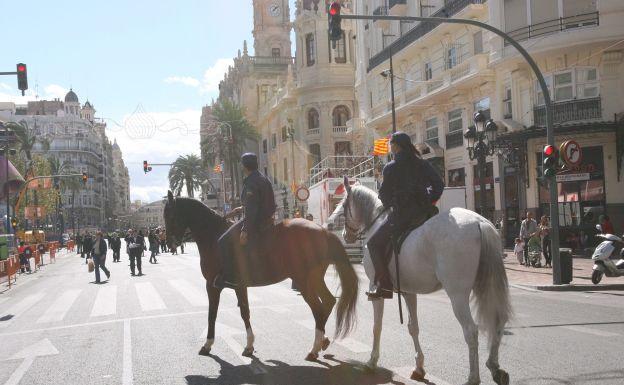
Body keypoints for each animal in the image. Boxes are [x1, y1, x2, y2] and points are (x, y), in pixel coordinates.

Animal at [163, 191, 358, 360]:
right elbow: (243, 312)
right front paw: (248, 345)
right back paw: (322, 341)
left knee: (318, 308)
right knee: (328, 302)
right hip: (315, 279)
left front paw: (209, 344)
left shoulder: (212, 285)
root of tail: (324, 232)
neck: (213, 236)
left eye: (170, 216)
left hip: (303, 281)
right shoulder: (239, 286)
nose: (170, 243)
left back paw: (314, 348)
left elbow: (215, 313)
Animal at [330, 176, 510, 384]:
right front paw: (419, 367)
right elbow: (413, 327)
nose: (344, 235)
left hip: (457, 294)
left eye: (344, 205)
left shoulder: (375, 288)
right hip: (487, 286)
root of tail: (479, 222)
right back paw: (495, 367)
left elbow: (377, 326)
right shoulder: (409, 291)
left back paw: (473, 377)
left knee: (471, 331)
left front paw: (372, 361)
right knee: (498, 321)